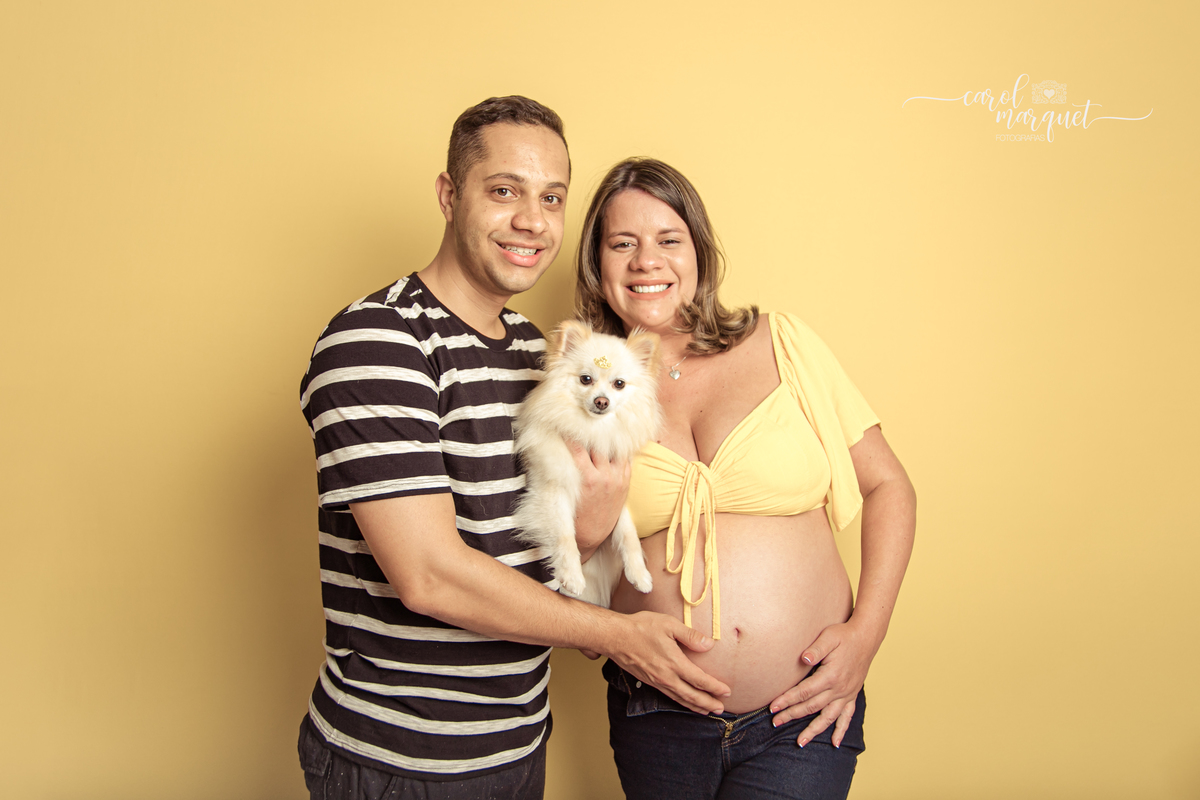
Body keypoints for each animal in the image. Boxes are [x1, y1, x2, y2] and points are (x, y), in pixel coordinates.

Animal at [513, 320, 663, 607]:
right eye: (585, 379)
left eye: (619, 384)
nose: (601, 401)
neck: (594, 430)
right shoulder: (552, 490)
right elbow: (564, 535)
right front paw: (571, 575)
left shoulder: (617, 498)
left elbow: (628, 535)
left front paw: (639, 574)